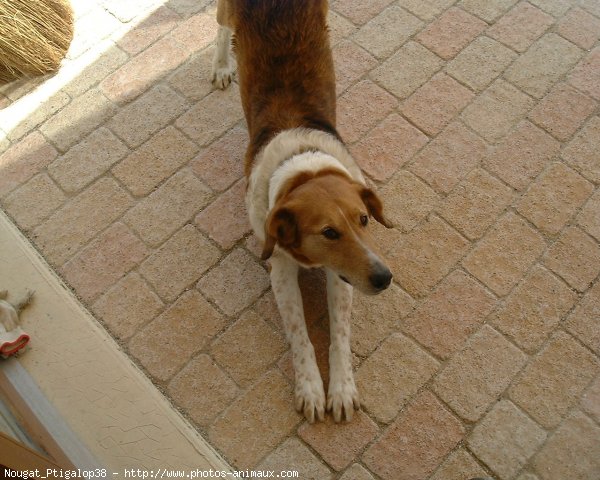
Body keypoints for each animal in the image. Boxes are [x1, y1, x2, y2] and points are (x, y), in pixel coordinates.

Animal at [211, 0, 394, 422]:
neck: (303, 165)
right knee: (219, 28)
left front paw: (341, 388)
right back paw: (222, 65)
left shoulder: (343, 275)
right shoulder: (279, 269)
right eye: (328, 232)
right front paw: (310, 386)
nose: (384, 278)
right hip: (225, 12)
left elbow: (339, 335)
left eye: (364, 219)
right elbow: (300, 335)